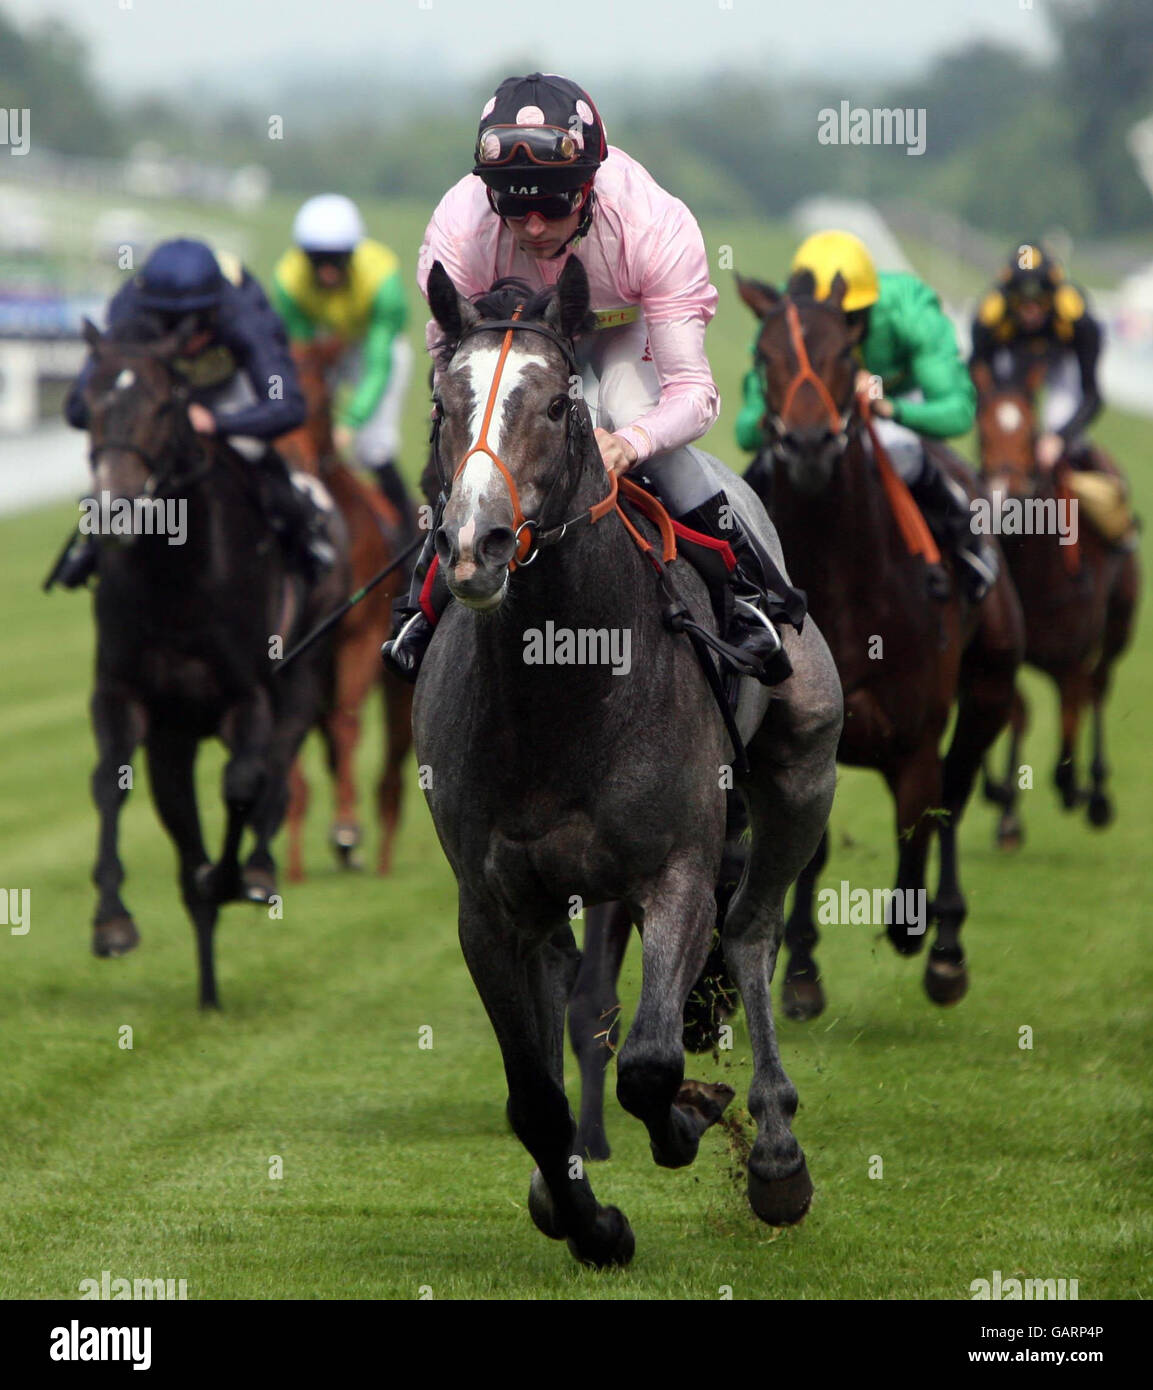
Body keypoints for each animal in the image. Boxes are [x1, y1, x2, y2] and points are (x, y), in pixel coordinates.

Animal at [74, 319, 346, 1006]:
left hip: (303, 676)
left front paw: (233, 876)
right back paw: (207, 984)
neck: (177, 576)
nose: (113, 506)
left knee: (275, 775)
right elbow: (109, 781)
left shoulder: (247, 696)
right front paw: (112, 920)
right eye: (88, 402)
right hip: (174, 741)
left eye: (166, 402)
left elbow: (245, 783)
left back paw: (255, 871)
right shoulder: (122, 694)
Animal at [276, 337, 417, 872]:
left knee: (392, 766)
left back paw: (381, 854)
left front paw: (345, 829)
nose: (290, 462)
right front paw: (292, 863)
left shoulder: (358, 639)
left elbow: (349, 724)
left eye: (318, 401)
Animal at [408, 255, 840, 1267]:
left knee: (751, 929)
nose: (476, 545)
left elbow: (650, 1061)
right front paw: (589, 1219)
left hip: (804, 768)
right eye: (443, 401)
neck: (561, 692)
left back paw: (773, 1150)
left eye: (557, 405)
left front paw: (691, 1118)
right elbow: (534, 1096)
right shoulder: (489, 907)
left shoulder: (675, 866)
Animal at [734, 271, 1023, 1017]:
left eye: (843, 351)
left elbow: (920, 817)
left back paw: (945, 945)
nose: (808, 445)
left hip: (989, 686)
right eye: (764, 356)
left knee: (954, 789)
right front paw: (801, 971)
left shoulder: (914, 734)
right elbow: (810, 851)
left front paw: (915, 926)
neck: (844, 585)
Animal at [968, 358, 1140, 839]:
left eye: (1029, 432)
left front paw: (1070, 783)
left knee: (1099, 686)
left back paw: (1095, 793)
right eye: (981, 431)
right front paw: (1005, 805)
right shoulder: (1004, 654)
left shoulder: (1071, 656)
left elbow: (1071, 706)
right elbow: (1020, 712)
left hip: (1120, 624)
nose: (1001, 499)